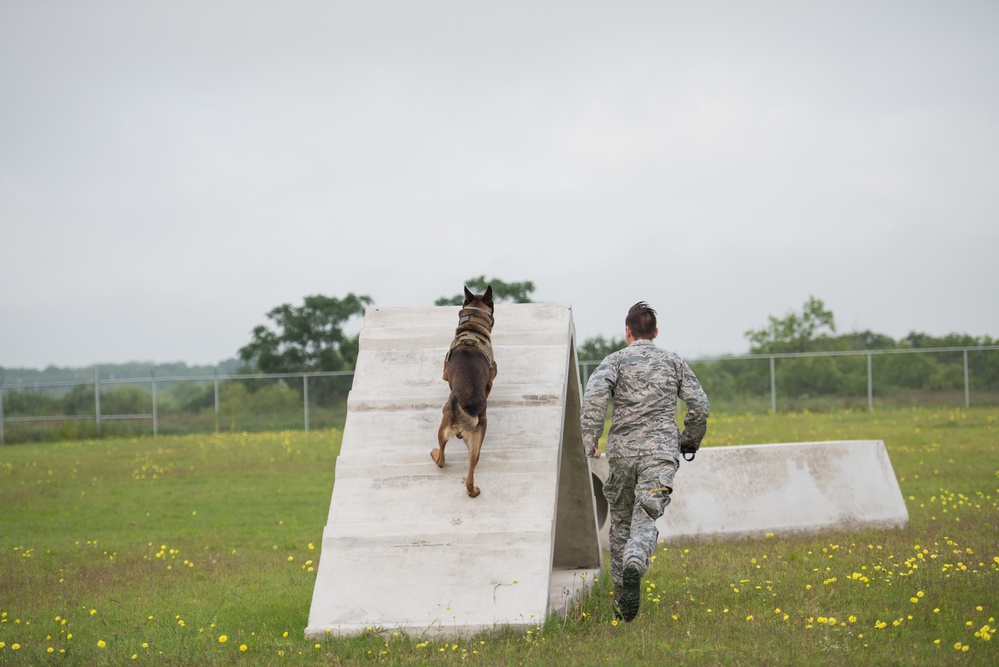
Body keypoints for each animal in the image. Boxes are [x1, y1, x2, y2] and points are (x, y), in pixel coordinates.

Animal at [434, 284, 500, 498]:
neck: (472, 327)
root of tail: (469, 410)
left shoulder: (445, 372)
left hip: (443, 428)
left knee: (441, 460)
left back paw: (435, 454)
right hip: (475, 446)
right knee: (470, 474)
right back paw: (474, 491)